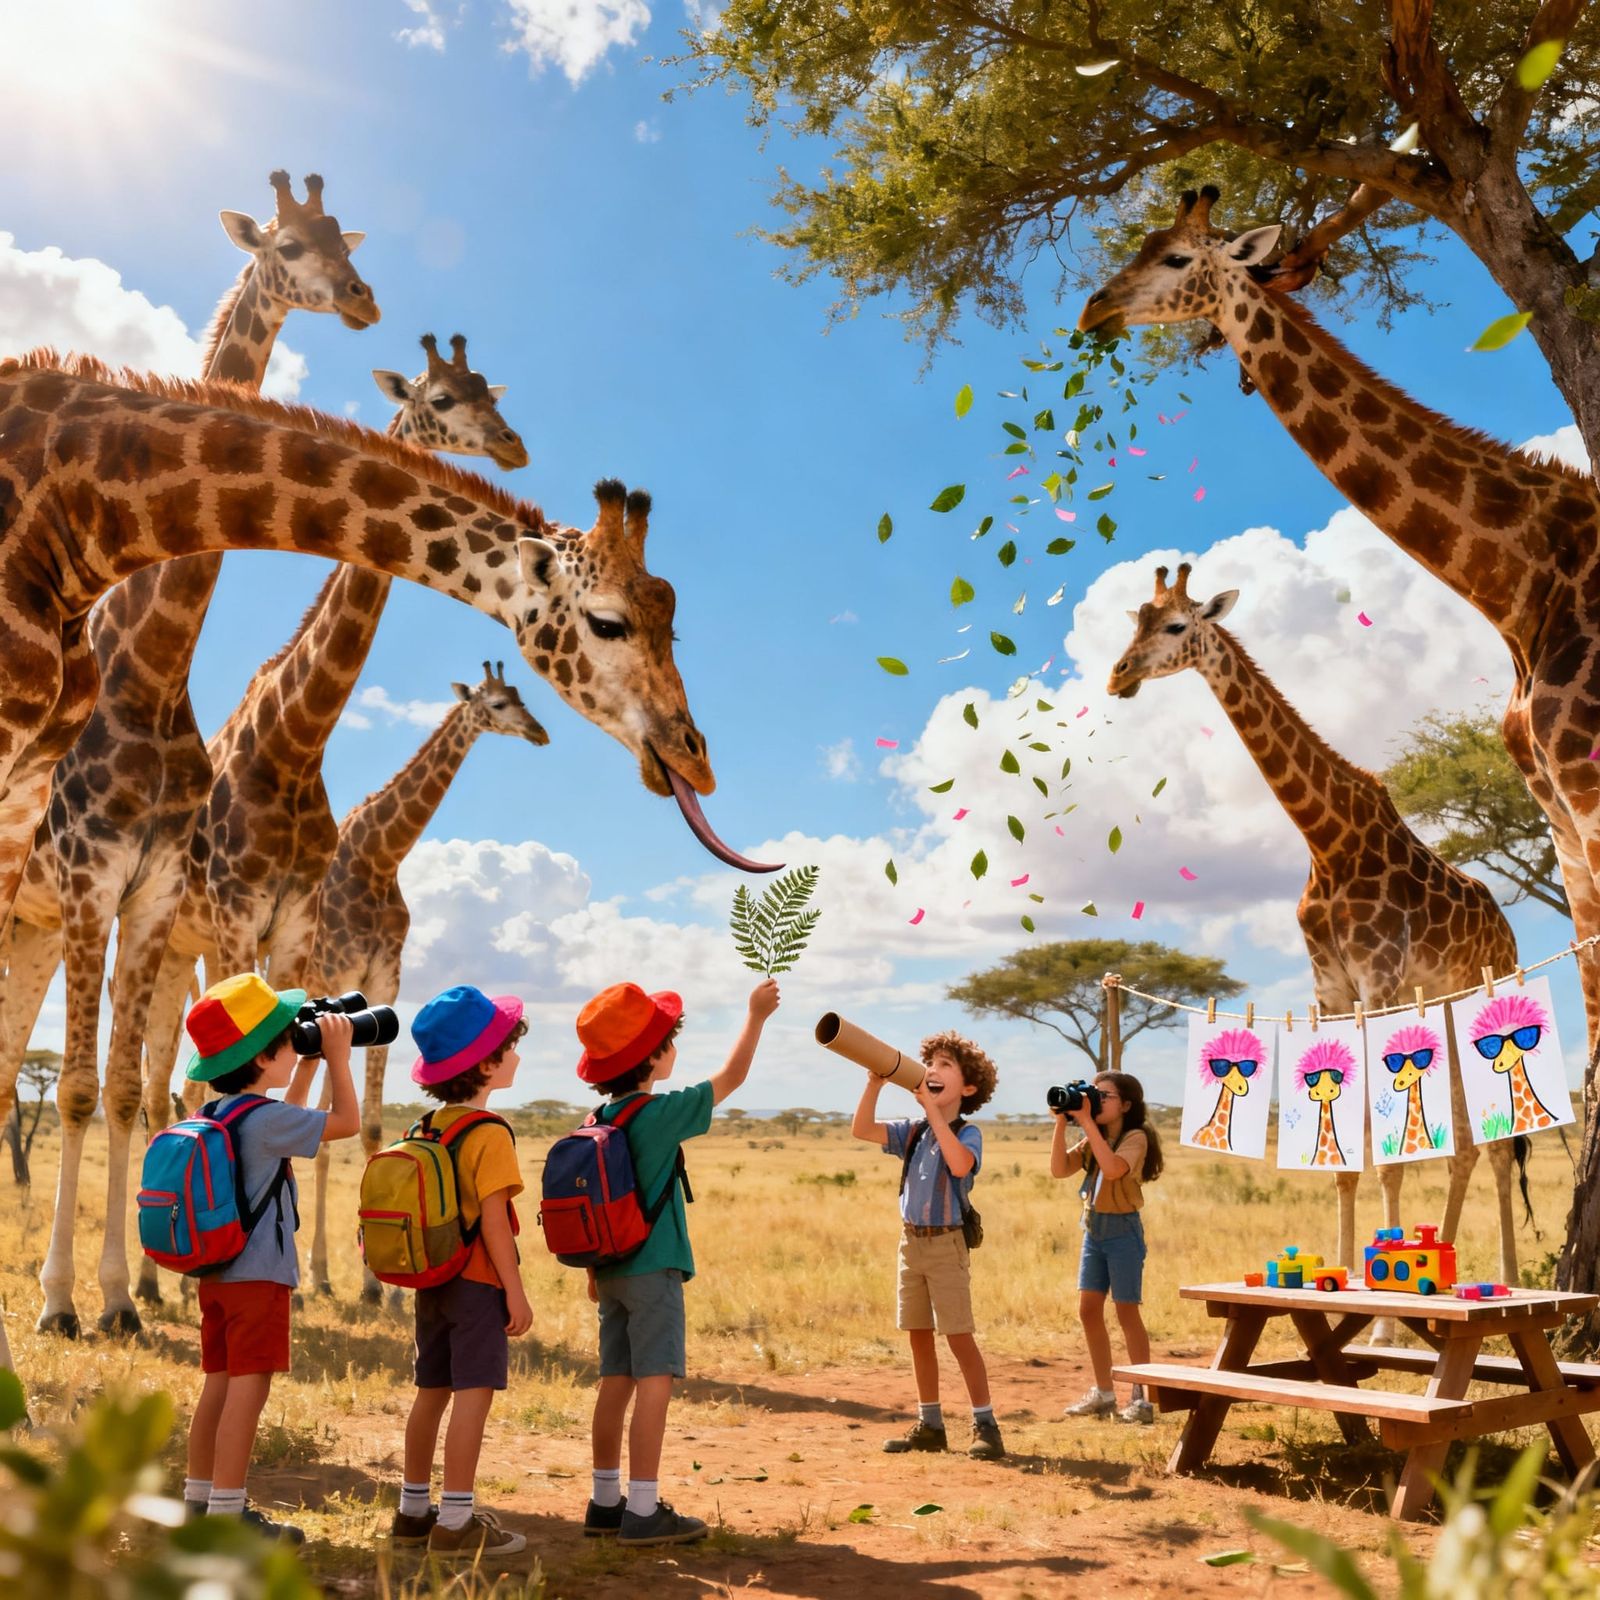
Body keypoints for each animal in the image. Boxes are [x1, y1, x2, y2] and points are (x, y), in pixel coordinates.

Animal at [1, 170, 378, 1341]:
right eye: (290, 244)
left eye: (349, 243)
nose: (363, 300)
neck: (153, 670)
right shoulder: (91, 884)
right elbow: (84, 1088)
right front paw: (62, 1306)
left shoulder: (152, 894)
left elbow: (128, 1090)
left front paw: (122, 1297)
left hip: (33, 927)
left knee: (6, 1070)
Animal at [304, 661, 548, 1297]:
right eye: (497, 703)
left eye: (521, 695)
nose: (540, 733)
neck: (378, 856)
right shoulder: (342, 974)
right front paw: (354, 1281)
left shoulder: (383, 984)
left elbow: (366, 1128)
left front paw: (379, 1290)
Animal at [1109, 564, 1522, 1281]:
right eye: (1135, 619)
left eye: (1177, 625)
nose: (1118, 675)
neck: (1327, 841)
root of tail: (1509, 929)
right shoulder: (1330, 988)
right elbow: (1345, 1162)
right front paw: (1345, 1274)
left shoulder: (1378, 983)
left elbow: (1387, 1157)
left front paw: (1381, 1292)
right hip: (1439, 1000)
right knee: (1468, 1145)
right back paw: (1445, 1258)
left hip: (1473, 992)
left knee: (1494, 1145)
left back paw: (1510, 1277)